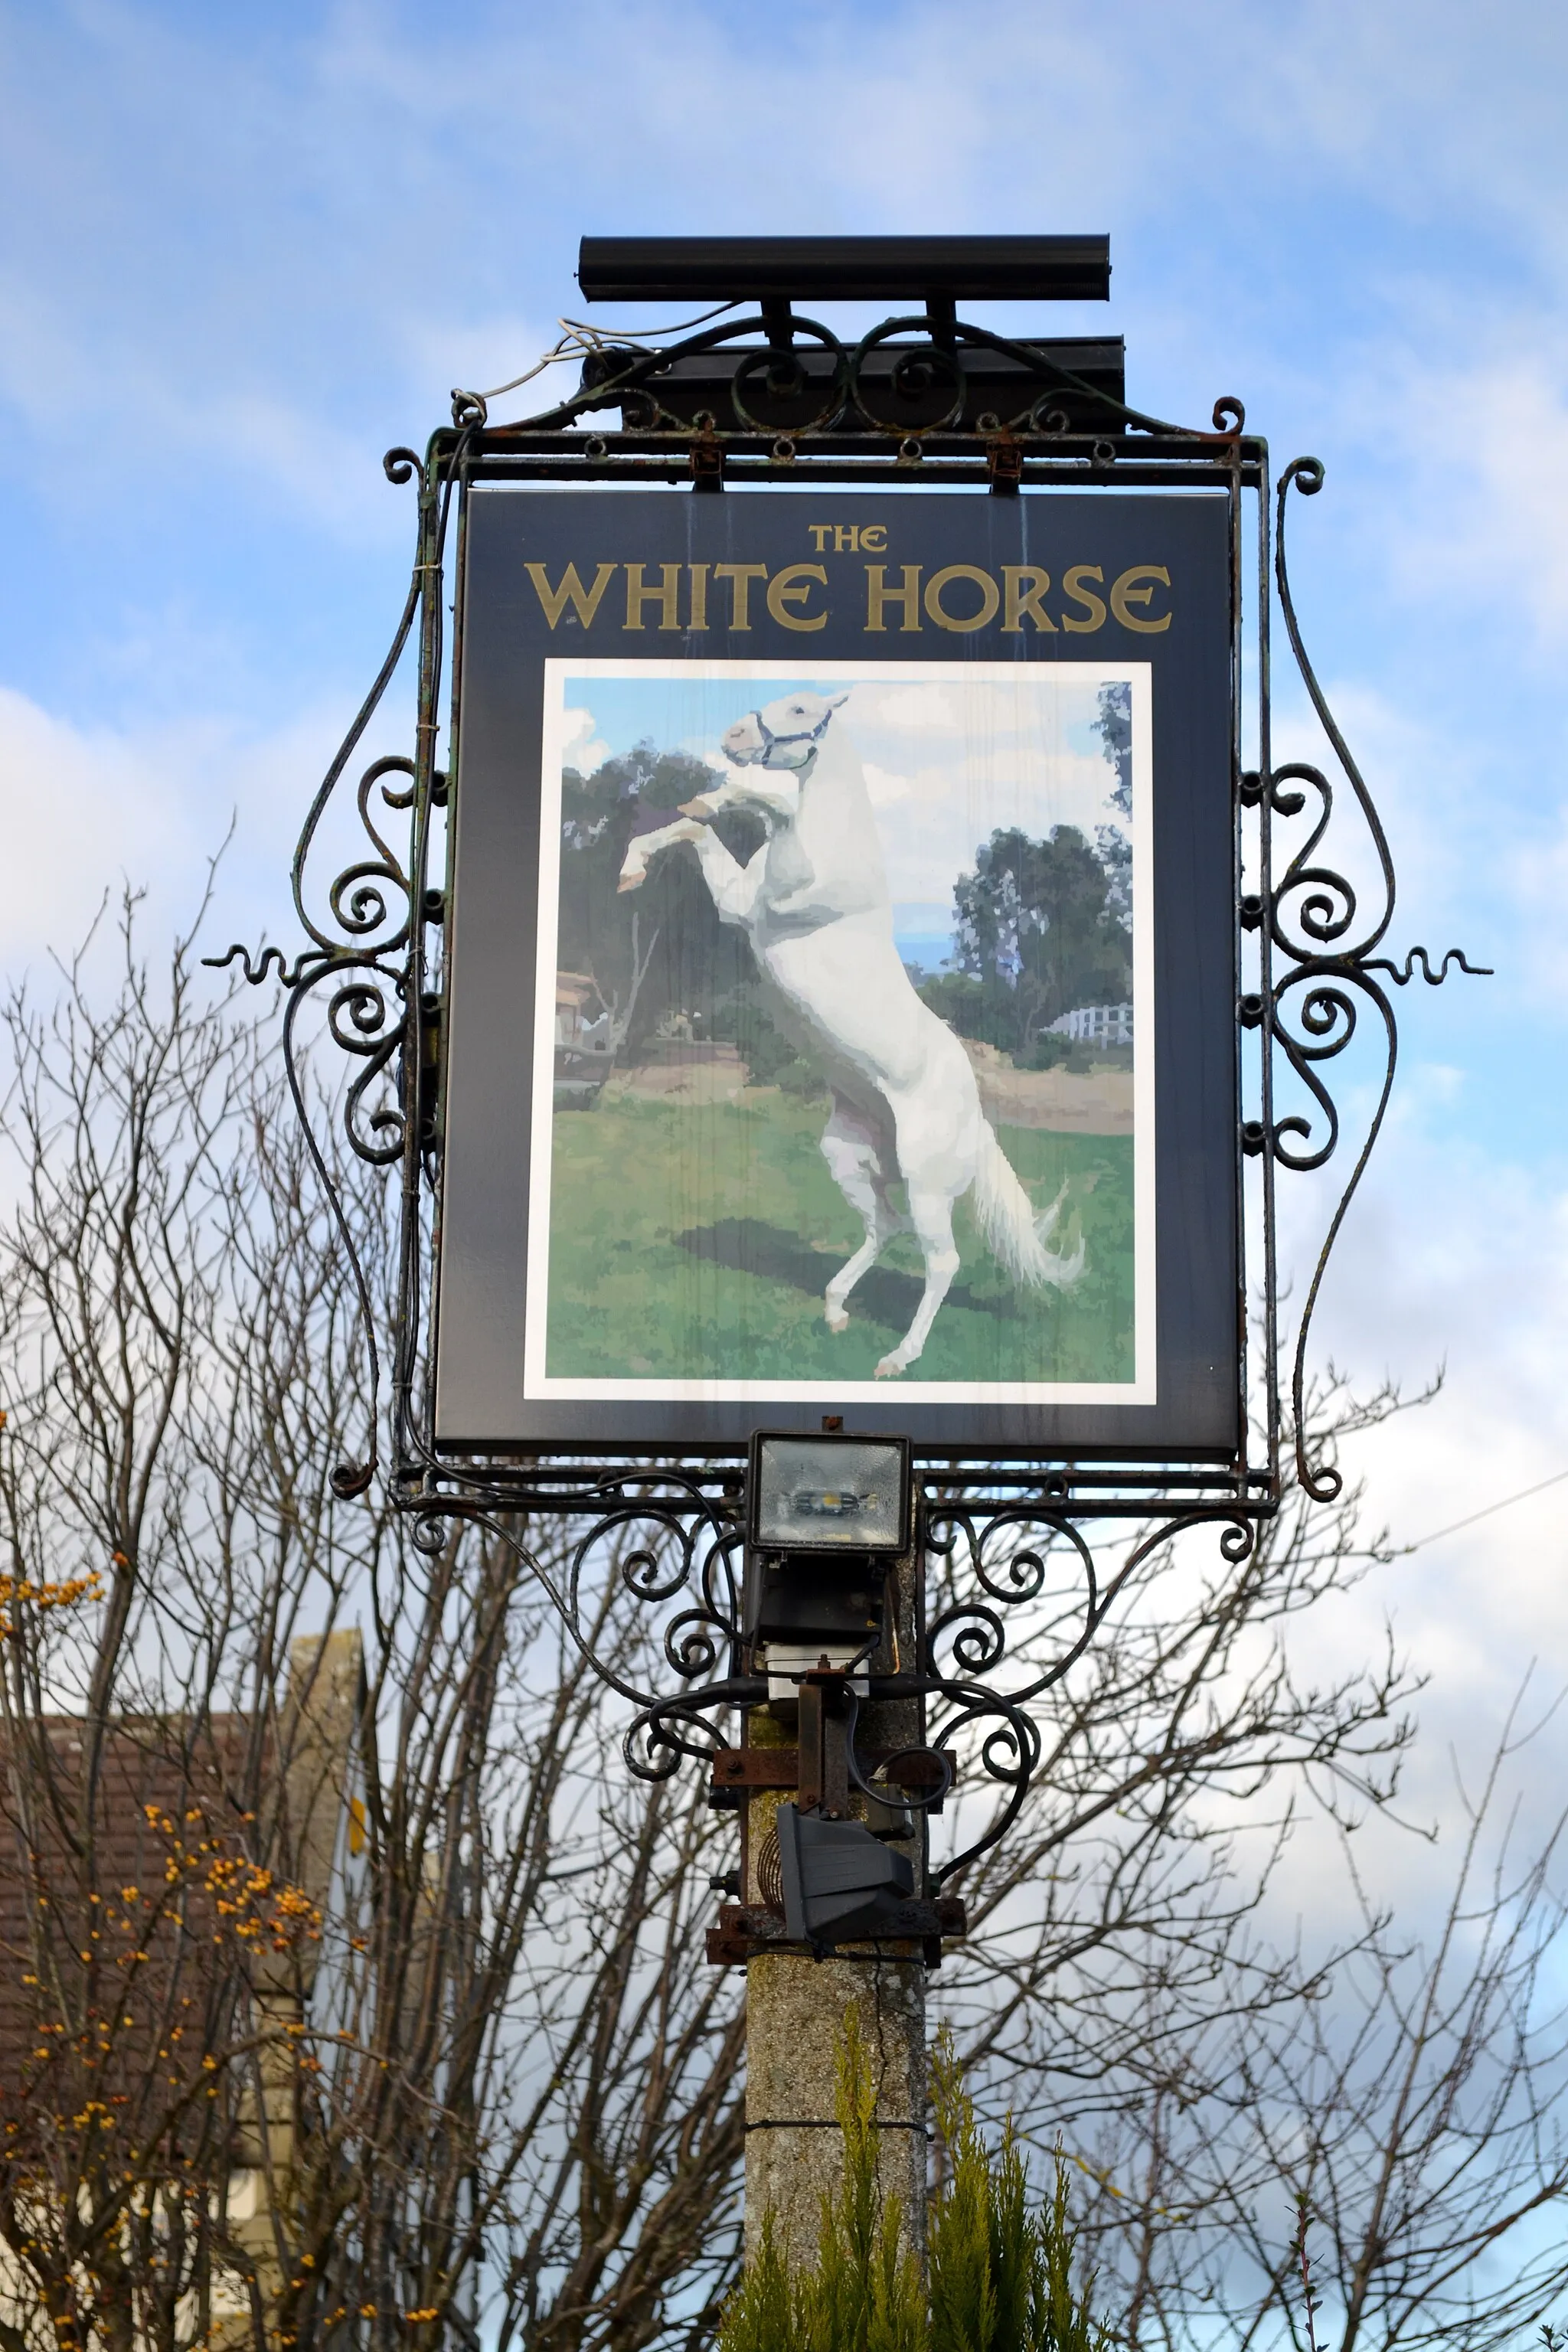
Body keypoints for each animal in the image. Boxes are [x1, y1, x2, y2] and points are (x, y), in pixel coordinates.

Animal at [620, 687, 1086, 1374]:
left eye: (800, 710)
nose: (734, 737)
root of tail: (975, 1122)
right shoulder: (738, 906)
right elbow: (695, 831)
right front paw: (635, 864)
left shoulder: (781, 896)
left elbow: (773, 809)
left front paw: (724, 794)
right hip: (847, 1158)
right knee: (884, 1228)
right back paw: (836, 1309)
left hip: (927, 1188)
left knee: (942, 1261)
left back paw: (899, 1357)